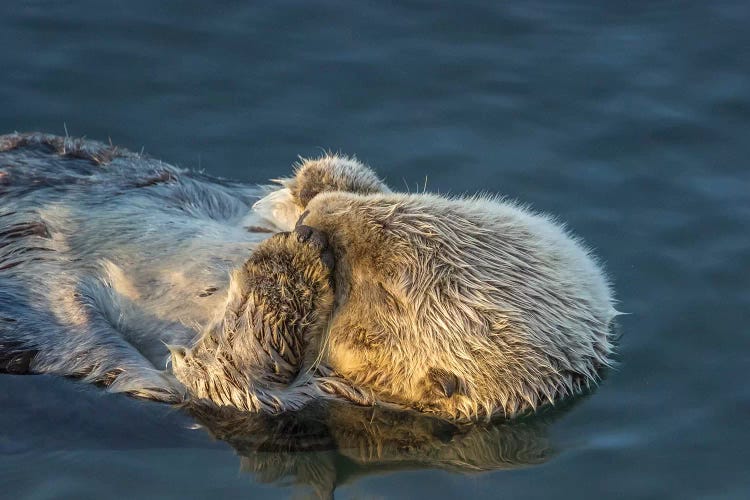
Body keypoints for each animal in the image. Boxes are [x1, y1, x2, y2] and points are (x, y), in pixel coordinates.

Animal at [0, 132, 620, 418]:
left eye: (387, 284)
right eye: (402, 205)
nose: (311, 226)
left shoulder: (303, 399)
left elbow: (220, 373)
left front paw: (285, 264)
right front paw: (325, 180)